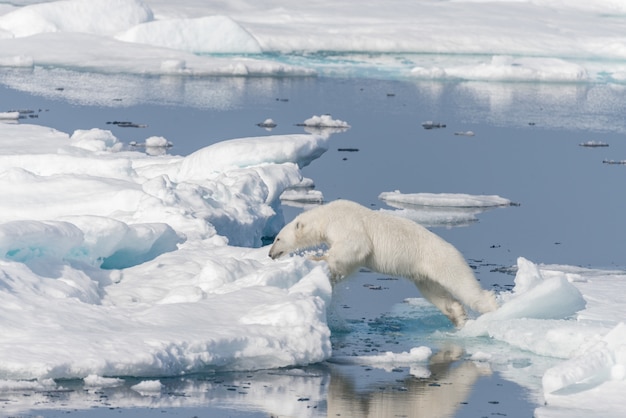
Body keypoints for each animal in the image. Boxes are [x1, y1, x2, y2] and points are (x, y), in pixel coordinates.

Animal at [268, 198, 498, 328]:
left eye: (277, 238)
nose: (270, 254)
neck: (327, 215)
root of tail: (455, 251)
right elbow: (351, 262)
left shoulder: (346, 223)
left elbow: (355, 246)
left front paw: (317, 257)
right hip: (423, 274)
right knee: (436, 293)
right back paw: (457, 317)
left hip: (444, 262)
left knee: (465, 287)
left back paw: (492, 310)